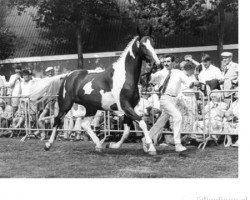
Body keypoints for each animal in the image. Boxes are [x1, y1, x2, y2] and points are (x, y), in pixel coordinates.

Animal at [44, 27, 161, 155]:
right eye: (143, 45)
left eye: (153, 43)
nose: (157, 64)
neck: (124, 77)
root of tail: (68, 76)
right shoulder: (125, 107)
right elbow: (142, 124)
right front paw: (151, 148)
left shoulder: (130, 108)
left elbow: (126, 131)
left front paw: (112, 145)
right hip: (65, 104)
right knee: (57, 120)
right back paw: (48, 144)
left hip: (91, 108)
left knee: (85, 124)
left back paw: (99, 145)